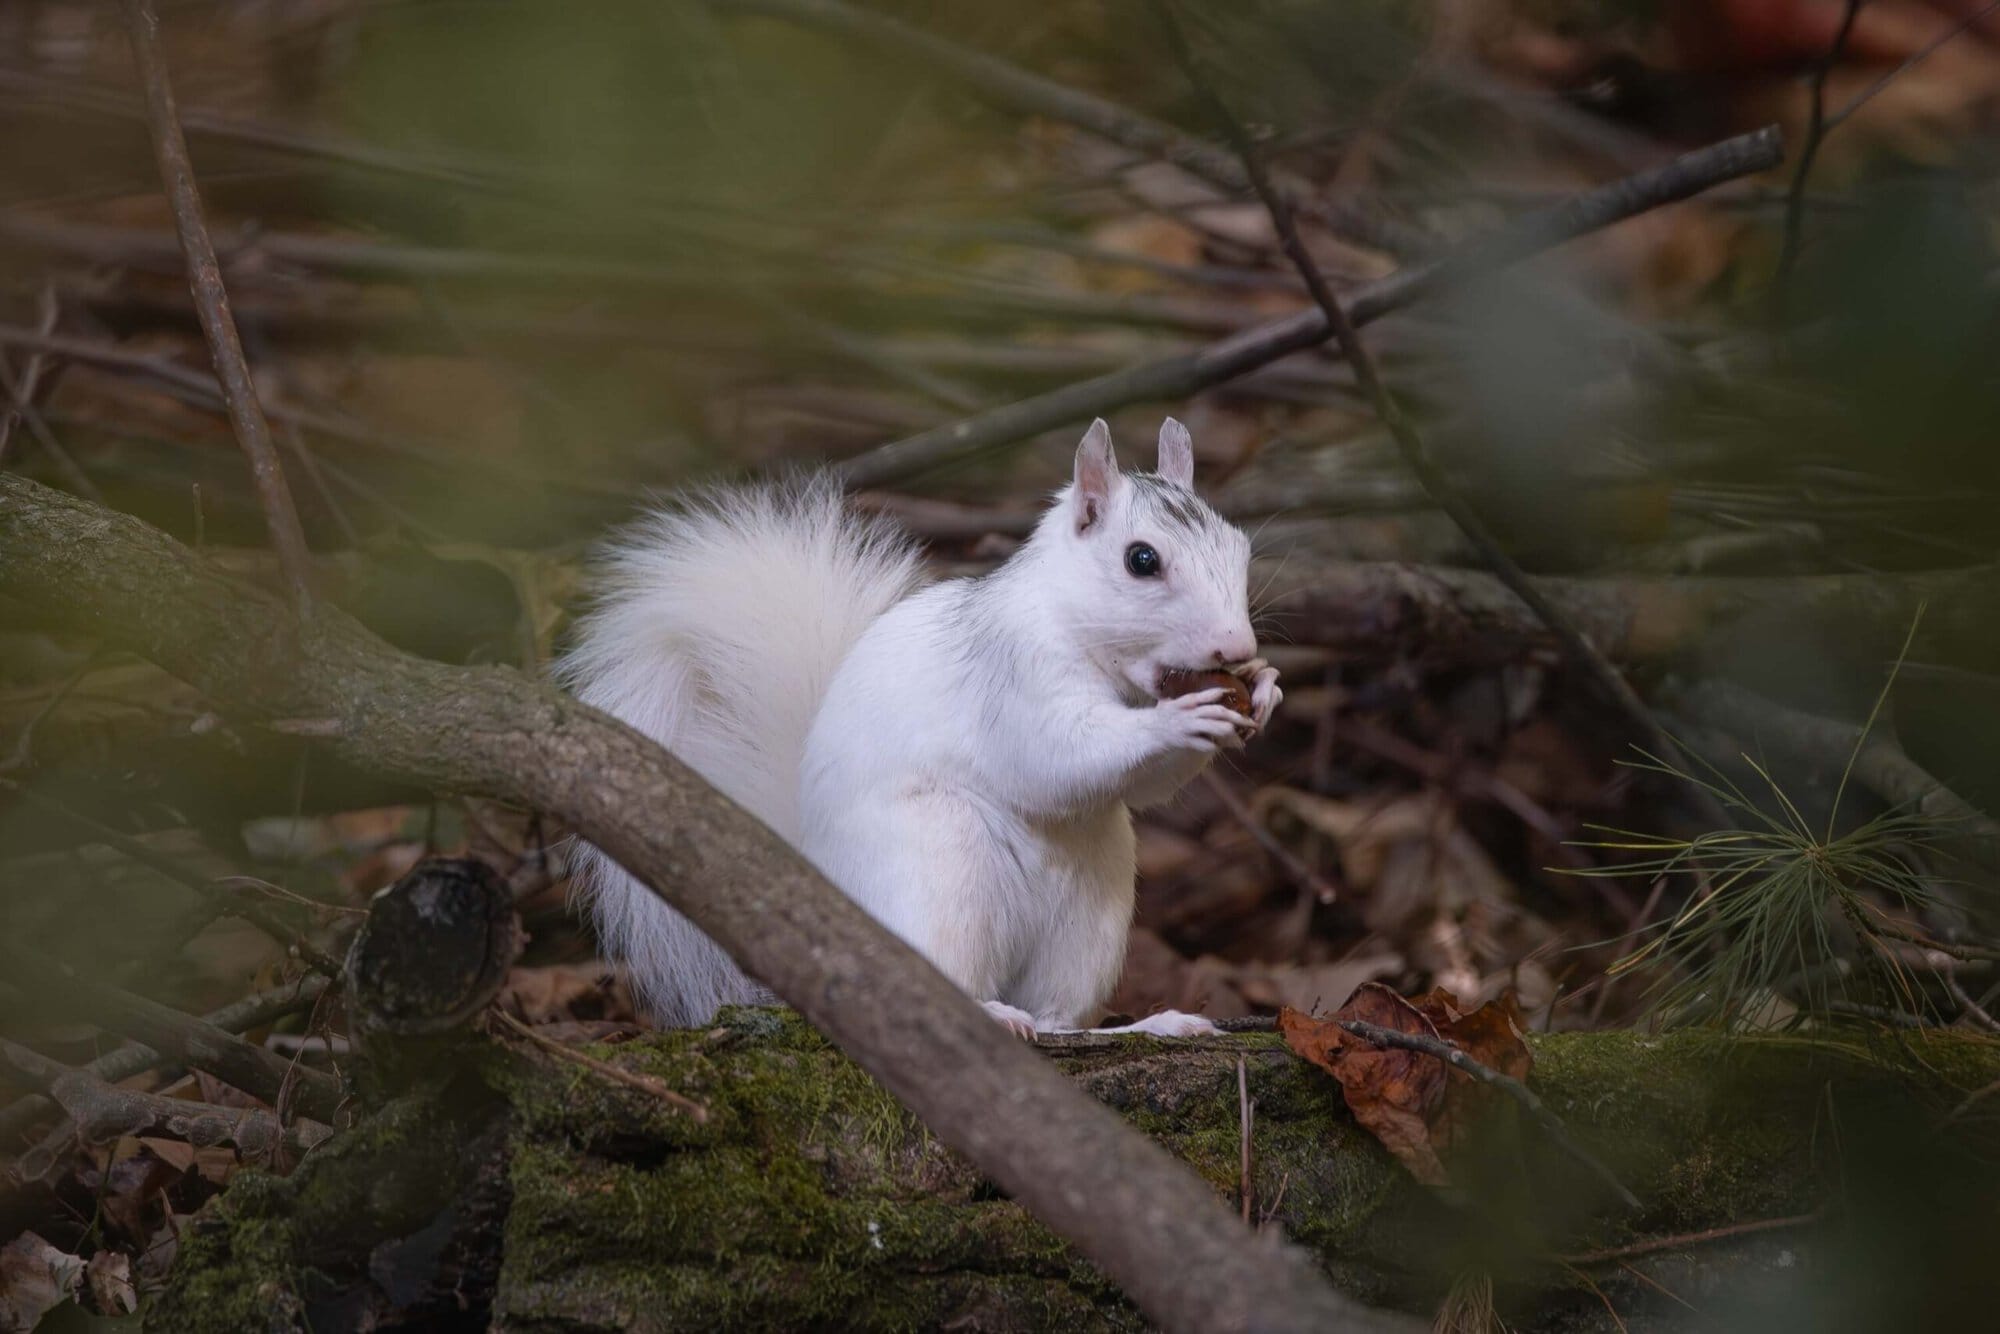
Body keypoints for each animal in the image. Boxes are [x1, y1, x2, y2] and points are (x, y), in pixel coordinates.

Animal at [556, 417, 1281, 1038]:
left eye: (1242, 546)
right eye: (1141, 560)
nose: (1235, 645)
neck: (1076, 629)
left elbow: (1147, 788)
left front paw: (1265, 689)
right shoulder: (1012, 677)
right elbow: (1058, 754)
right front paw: (1179, 718)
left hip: (1089, 921)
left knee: (1058, 1021)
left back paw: (1150, 1025)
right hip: (941, 871)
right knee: (943, 994)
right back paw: (992, 1015)